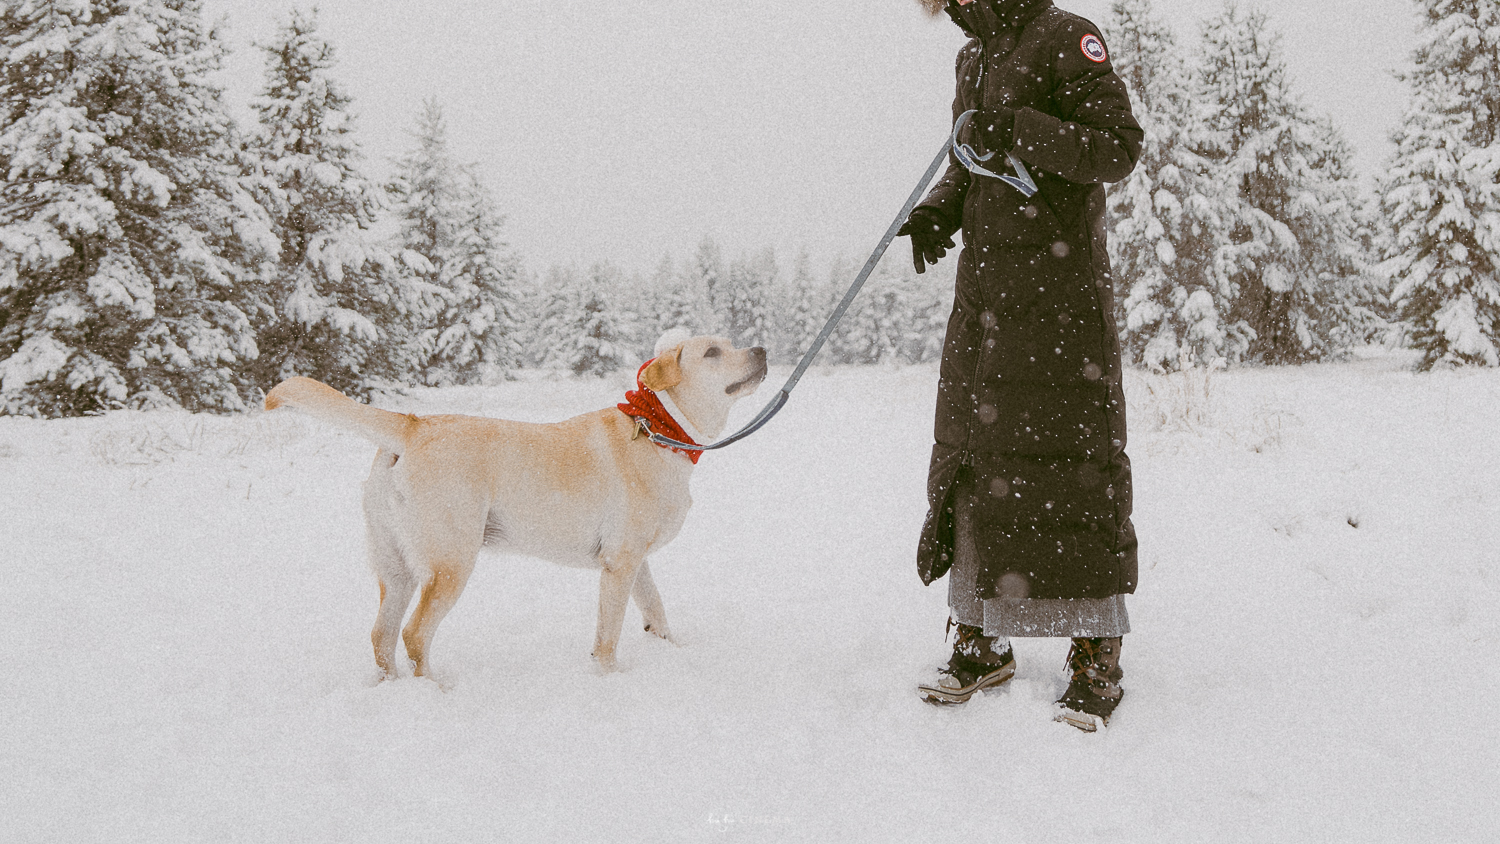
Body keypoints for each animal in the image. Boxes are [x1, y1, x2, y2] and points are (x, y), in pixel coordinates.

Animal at [262, 337, 768, 680]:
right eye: (712, 352)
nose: (762, 349)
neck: (660, 427)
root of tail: (413, 425)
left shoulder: (633, 562)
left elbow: (655, 608)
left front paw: (671, 649)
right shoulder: (620, 563)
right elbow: (608, 634)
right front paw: (609, 677)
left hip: (397, 567)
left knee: (382, 636)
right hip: (452, 562)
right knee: (414, 634)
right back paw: (436, 690)